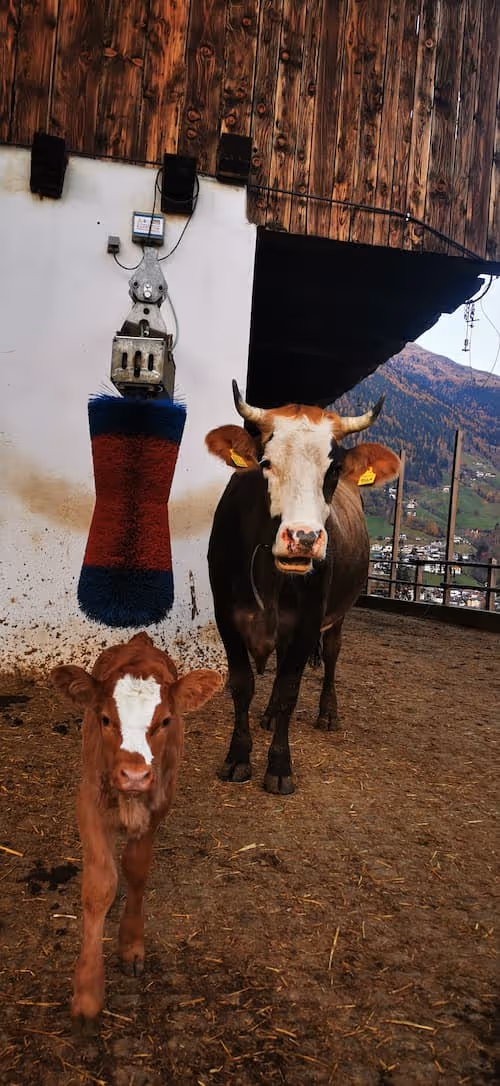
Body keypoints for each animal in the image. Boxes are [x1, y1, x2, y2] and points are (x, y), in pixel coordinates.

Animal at [50, 632, 221, 1021]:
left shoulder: (159, 802)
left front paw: (131, 944)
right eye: (104, 719)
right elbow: (99, 884)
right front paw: (88, 991)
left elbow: (136, 869)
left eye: (166, 721)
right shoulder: (89, 800)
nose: (134, 775)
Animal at [206, 381, 400, 796]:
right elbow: (243, 685)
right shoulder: (226, 616)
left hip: (338, 613)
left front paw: (279, 766)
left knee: (332, 653)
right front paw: (237, 757)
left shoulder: (309, 621)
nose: (304, 538)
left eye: (334, 469)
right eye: (265, 463)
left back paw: (328, 712)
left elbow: (289, 691)